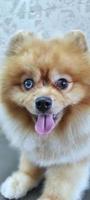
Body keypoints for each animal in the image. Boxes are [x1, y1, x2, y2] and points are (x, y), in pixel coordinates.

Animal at [0, 30, 90, 200]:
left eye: (63, 83)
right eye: (28, 83)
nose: (42, 102)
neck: (49, 137)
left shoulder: (73, 159)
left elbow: (59, 187)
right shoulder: (31, 146)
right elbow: (29, 165)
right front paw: (20, 180)